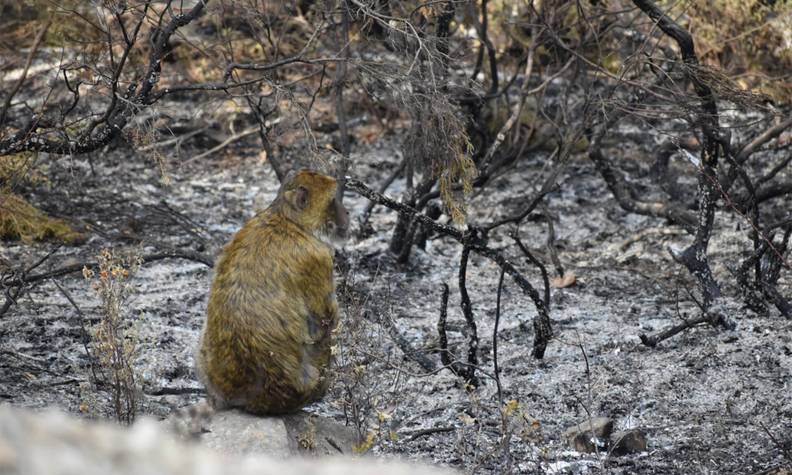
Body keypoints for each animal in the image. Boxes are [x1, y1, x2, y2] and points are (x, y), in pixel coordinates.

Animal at [196, 169, 348, 414]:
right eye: (334, 200)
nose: (347, 211)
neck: (289, 221)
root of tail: (246, 400)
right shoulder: (318, 257)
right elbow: (323, 323)